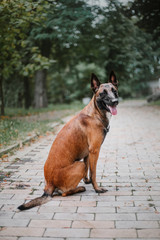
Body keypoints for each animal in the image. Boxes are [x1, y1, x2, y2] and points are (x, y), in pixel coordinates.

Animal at [18, 71, 118, 210]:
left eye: (114, 91)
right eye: (103, 93)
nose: (115, 101)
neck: (95, 113)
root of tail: (49, 184)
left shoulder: (88, 153)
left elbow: (88, 169)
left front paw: (86, 180)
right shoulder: (95, 151)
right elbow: (93, 173)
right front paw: (97, 188)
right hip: (78, 165)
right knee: (64, 193)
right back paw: (80, 188)